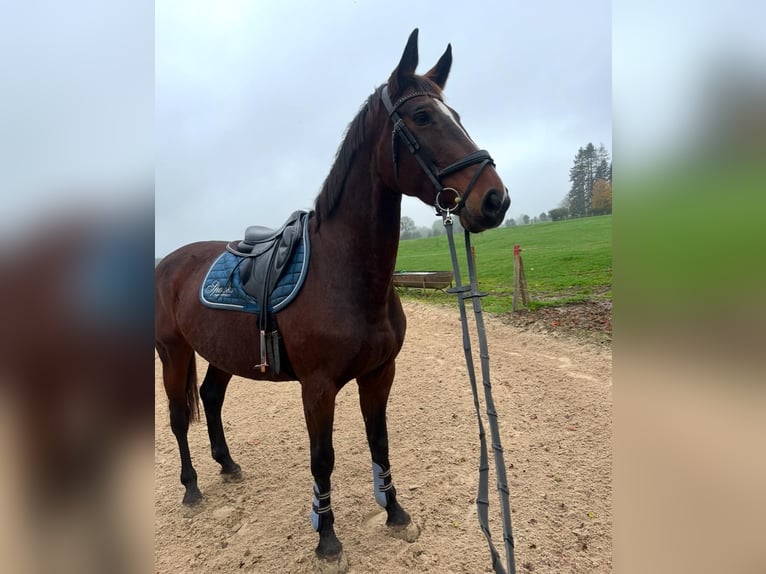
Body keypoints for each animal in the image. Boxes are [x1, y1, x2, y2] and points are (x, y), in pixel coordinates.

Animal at [155, 29, 510, 564]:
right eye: (422, 117)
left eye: (457, 116)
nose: (494, 199)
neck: (346, 275)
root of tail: (168, 262)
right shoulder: (317, 387)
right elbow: (322, 459)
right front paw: (326, 537)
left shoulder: (380, 373)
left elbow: (379, 442)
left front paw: (395, 513)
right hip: (173, 352)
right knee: (180, 417)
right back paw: (192, 486)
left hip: (220, 352)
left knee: (211, 399)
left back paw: (227, 465)